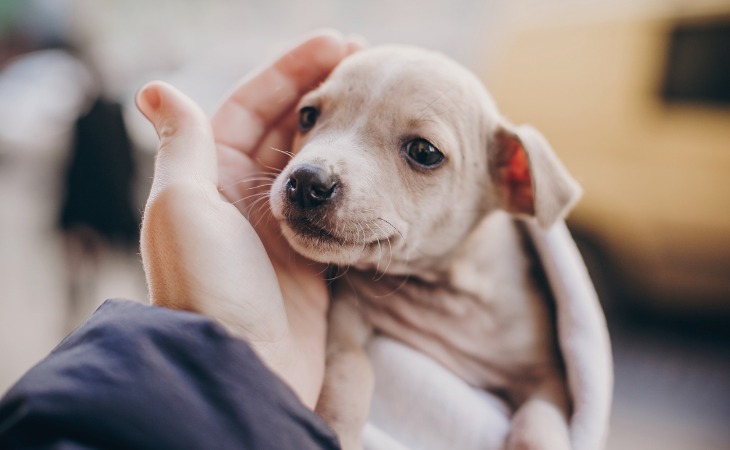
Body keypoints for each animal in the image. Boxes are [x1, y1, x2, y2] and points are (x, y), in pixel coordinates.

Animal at [270, 45, 584, 450]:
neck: (439, 290)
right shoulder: (344, 322)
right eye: (307, 116)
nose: (307, 181)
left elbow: (539, 421)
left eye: (424, 151)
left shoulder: (549, 376)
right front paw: (339, 430)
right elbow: (351, 371)